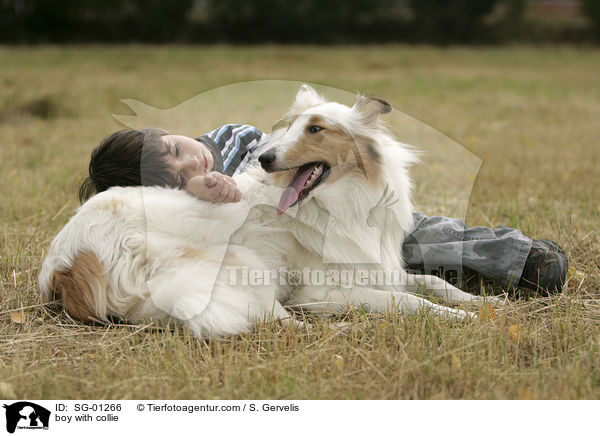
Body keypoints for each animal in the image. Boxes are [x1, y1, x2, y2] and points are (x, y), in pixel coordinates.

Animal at [38, 84, 496, 338]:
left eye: (316, 129)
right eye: (291, 128)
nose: (264, 158)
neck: (343, 202)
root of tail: (63, 268)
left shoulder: (378, 267)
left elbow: (432, 283)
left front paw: (483, 302)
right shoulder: (322, 289)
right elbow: (409, 302)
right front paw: (458, 317)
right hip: (238, 266)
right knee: (280, 322)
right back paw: (341, 329)